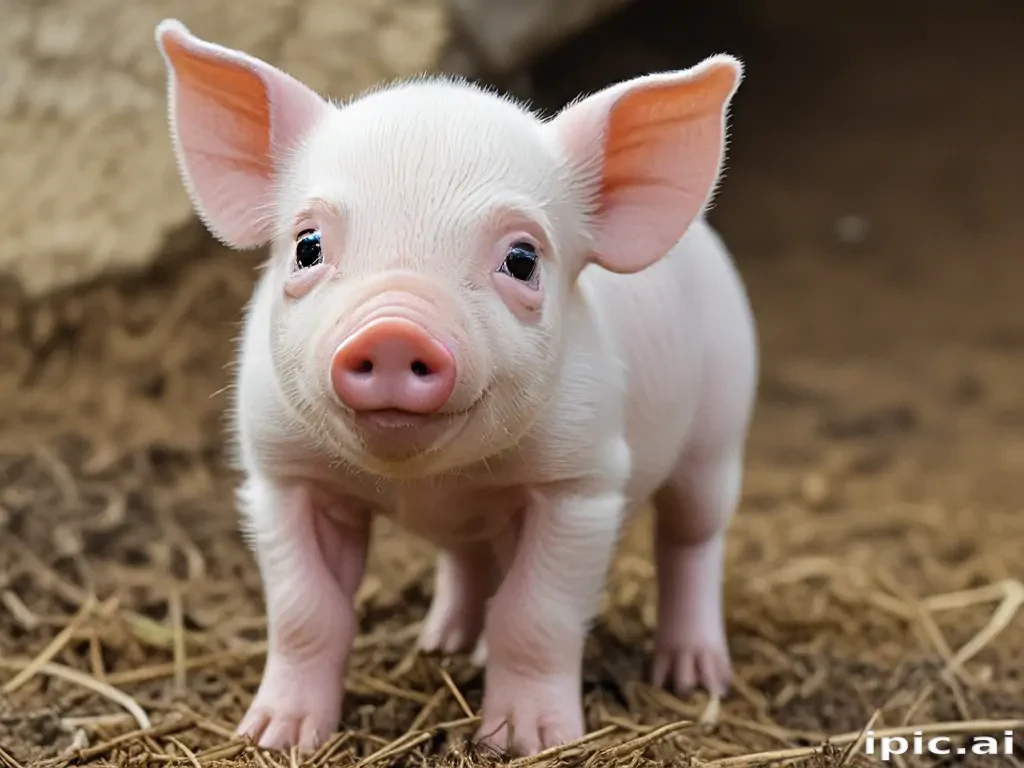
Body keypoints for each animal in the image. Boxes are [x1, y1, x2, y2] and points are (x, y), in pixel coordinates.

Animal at [154, 18, 758, 757]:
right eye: (306, 246)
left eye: (522, 259)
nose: (393, 330)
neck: (424, 481)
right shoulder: (280, 473)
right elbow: (305, 612)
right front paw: (276, 738)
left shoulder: (582, 482)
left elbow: (536, 615)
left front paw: (527, 742)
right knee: (468, 558)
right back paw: (441, 644)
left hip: (720, 425)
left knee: (693, 539)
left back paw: (695, 677)